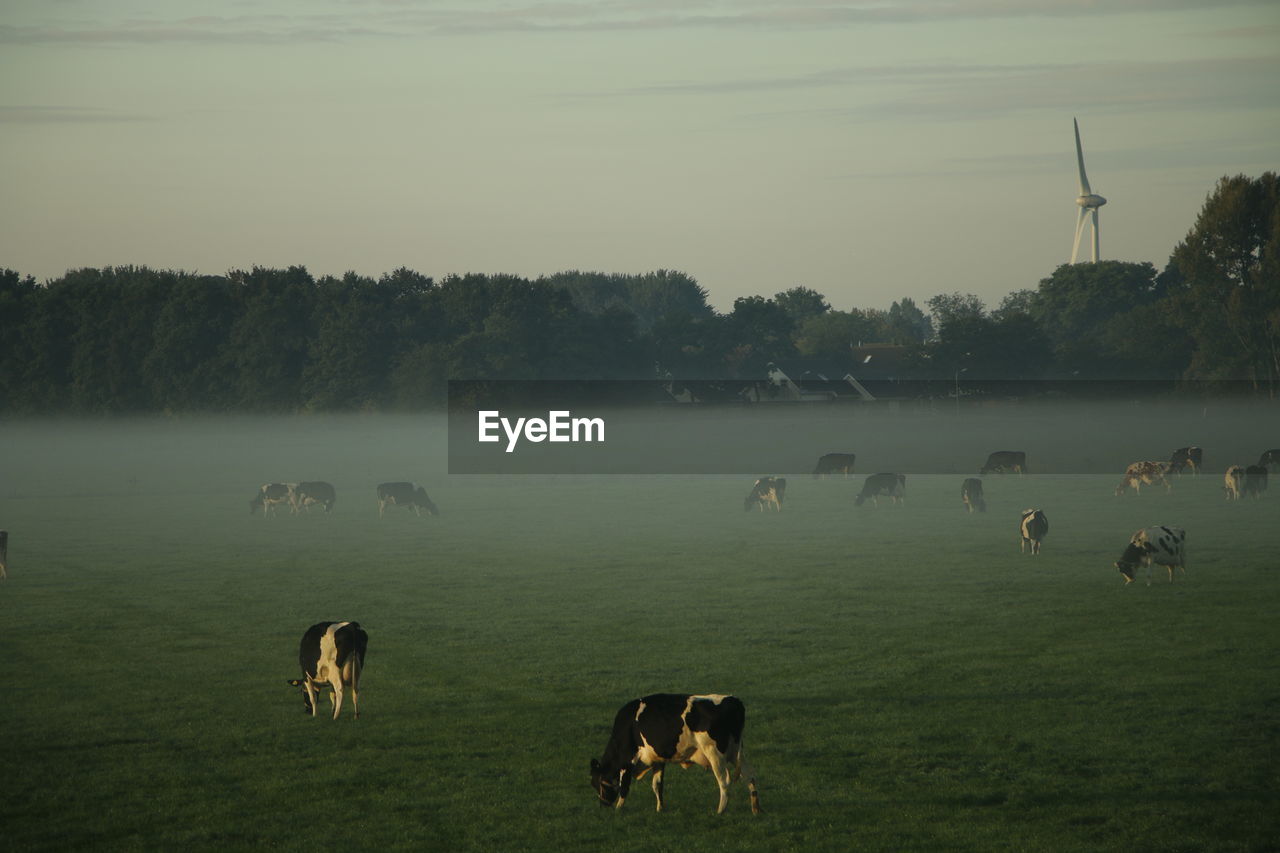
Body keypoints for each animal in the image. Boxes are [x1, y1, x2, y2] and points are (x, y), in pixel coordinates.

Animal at [588, 691, 757, 809]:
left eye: (597, 783)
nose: (603, 805)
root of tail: (733, 701)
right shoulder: (658, 759)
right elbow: (657, 785)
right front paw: (660, 808)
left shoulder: (627, 760)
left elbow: (624, 787)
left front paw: (618, 809)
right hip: (736, 753)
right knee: (749, 777)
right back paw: (756, 808)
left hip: (715, 753)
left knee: (724, 781)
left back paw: (721, 811)